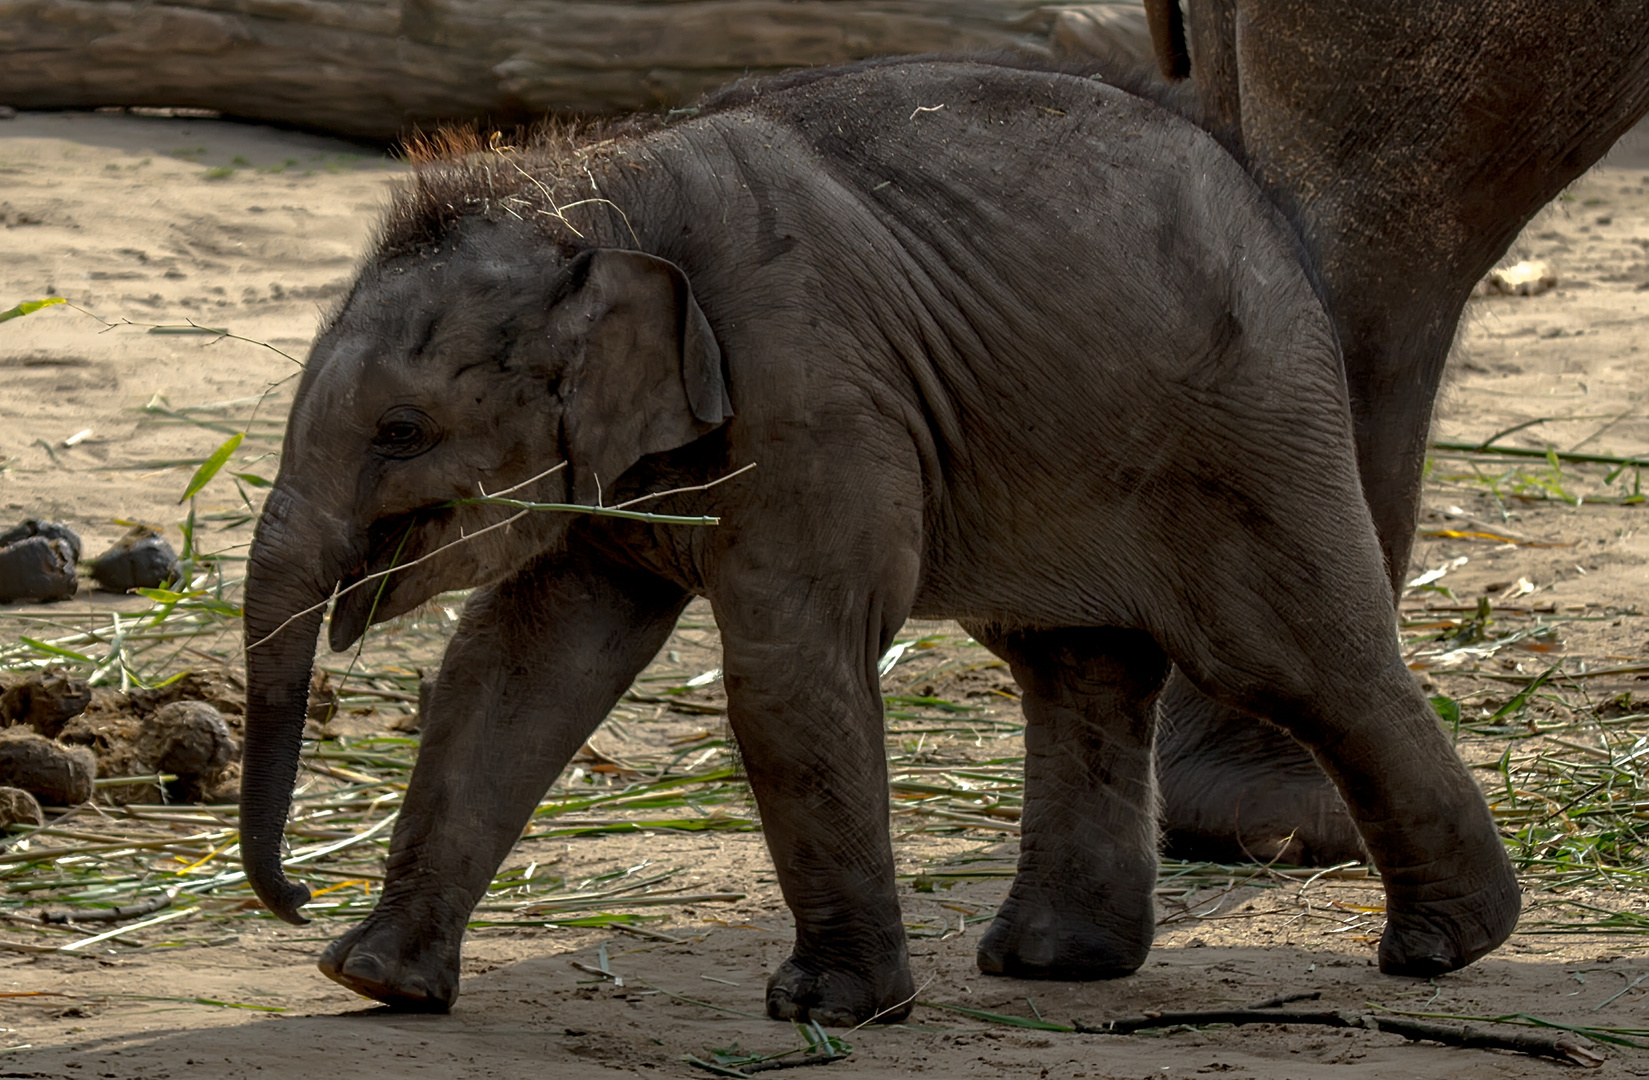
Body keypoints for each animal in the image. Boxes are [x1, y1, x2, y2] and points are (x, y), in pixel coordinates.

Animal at [235, 56, 1517, 1022]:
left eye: (400, 430)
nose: (292, 903)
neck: (590, 181)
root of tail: (1263, 205)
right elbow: (513, 666)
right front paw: (377, 983)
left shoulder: (813, 391)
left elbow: (787, 671)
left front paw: (827, 1011)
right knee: (1074, 664)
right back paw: (1055, 964)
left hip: (1248, 429)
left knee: (1299, 661)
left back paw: (1443, 948)